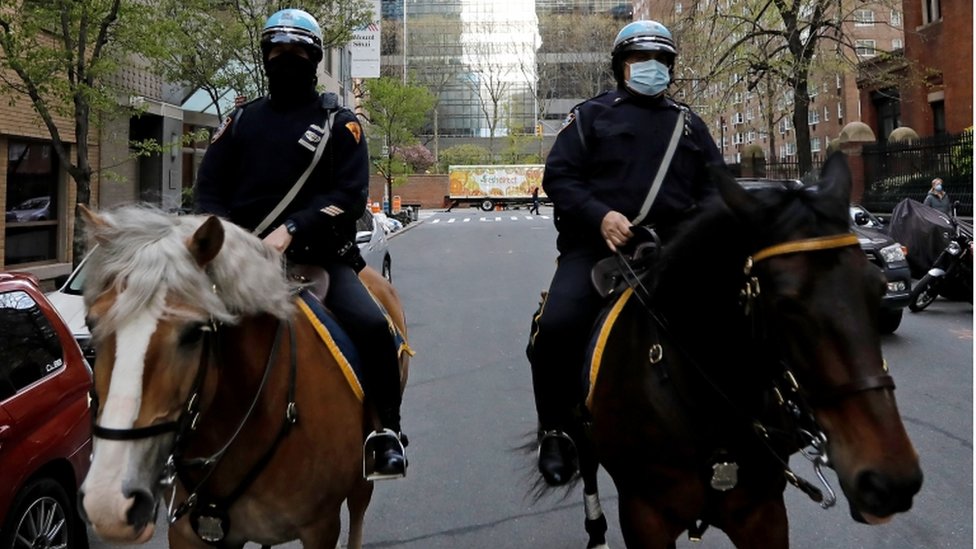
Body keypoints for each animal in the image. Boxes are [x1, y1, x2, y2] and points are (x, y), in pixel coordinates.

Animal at [77, 207, 408, 548]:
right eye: (92, 324)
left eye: (193, 332)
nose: (108, 503)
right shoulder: (191, 533)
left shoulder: (321, 527)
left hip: (362, 475)